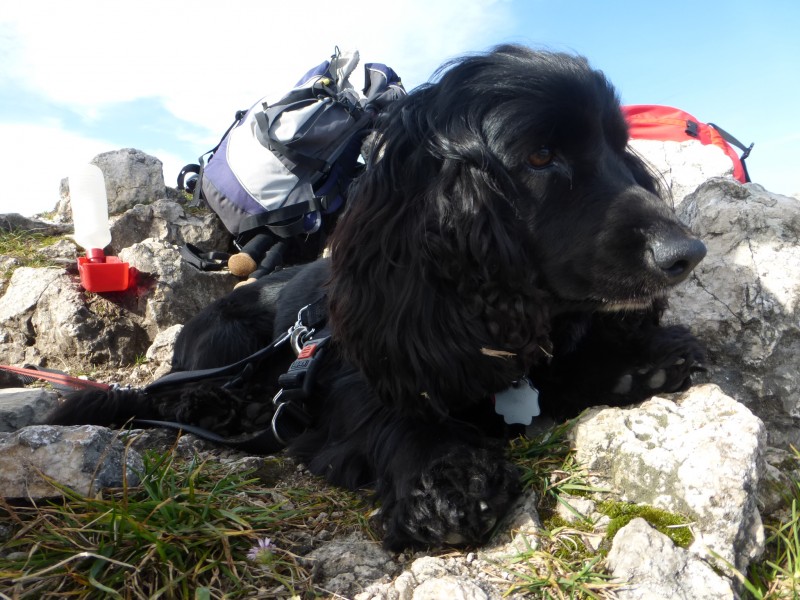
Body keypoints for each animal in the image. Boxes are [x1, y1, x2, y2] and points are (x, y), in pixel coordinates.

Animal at [50, 45, 704, 552]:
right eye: (541, 156)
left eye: (619, 147)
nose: (687, 252)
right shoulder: (358, 365)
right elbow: (393, 411)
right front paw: (444, 478)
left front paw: (636, 362)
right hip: (227, 330)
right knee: (180, 393)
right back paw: (230, 408)